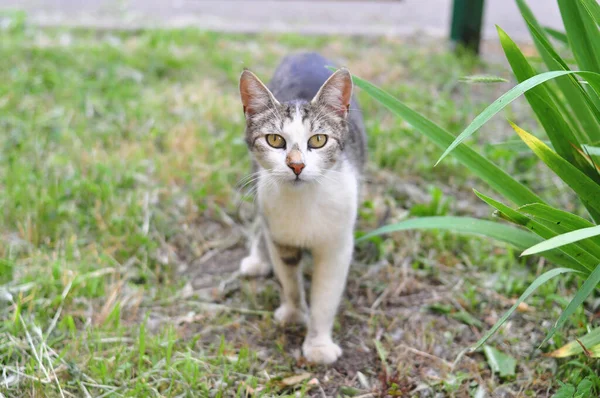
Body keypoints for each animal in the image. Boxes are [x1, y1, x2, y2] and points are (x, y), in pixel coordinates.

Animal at [238, 52, 366, 364]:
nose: (296, 165)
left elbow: (325, 296)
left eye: (318, 140)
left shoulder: (337, 245)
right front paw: (294, 313)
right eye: (274, 140)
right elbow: (289, 280)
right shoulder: (280, 236)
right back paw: (258, 259)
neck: (303, 202)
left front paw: (318, 345)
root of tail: (307, 52)